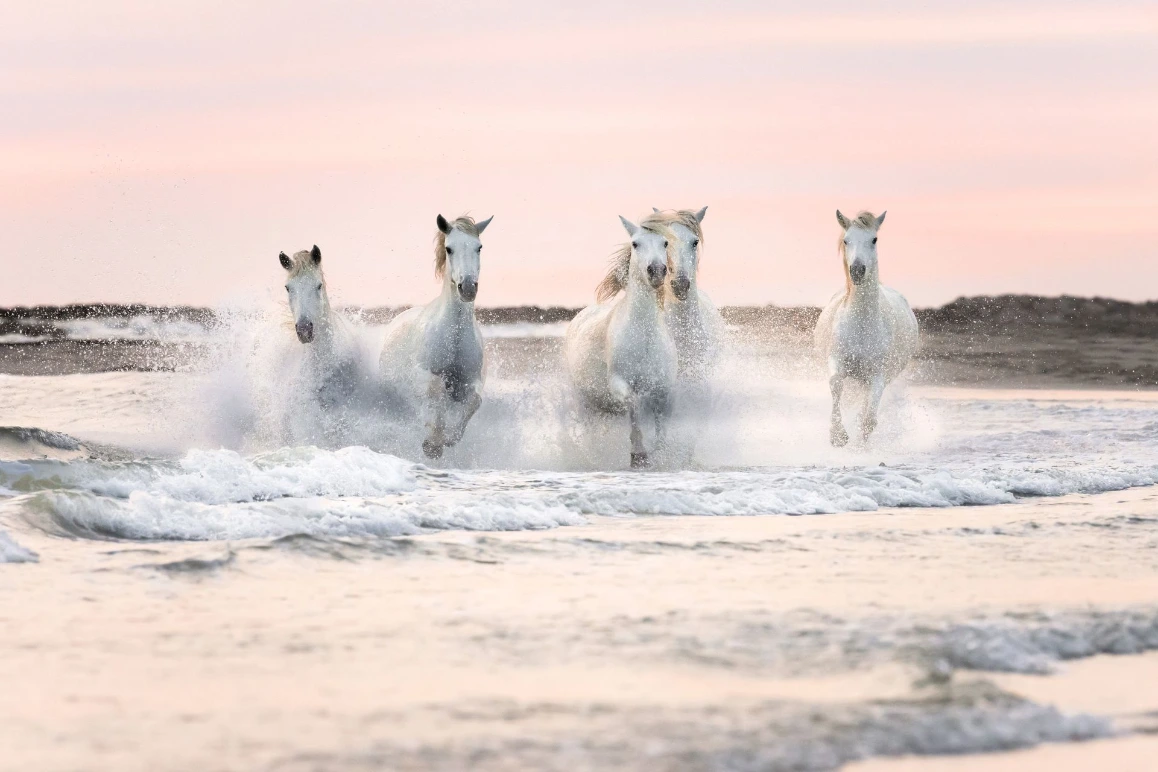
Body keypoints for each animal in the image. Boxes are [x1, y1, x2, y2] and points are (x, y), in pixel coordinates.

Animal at [378, 214, 492, 459]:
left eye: (479, 247)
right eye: (449, 249)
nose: (468, 287)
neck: (454, 337)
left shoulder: (470, 381)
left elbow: (474, 401)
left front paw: (448, 438)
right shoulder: (421, 374)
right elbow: (435, 389)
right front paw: (432, 444)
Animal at [564, 215, 677, 469]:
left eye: (665, 242)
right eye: (635, 244)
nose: (657, 271)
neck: (644, 337)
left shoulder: (663, 389)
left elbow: (662, 424)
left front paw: (662, 454)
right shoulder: (619, 383)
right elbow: (634, 406)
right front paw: (639, 455)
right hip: (585, 404)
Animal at [813, 210, 919, 446]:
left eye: (874, 239)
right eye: (846, 240)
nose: (857, 271)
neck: (861, 325)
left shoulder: (878, 375)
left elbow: (869, 419)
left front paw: (859, 447)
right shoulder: (837, 361)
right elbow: (836, 384)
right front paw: (838, 436)